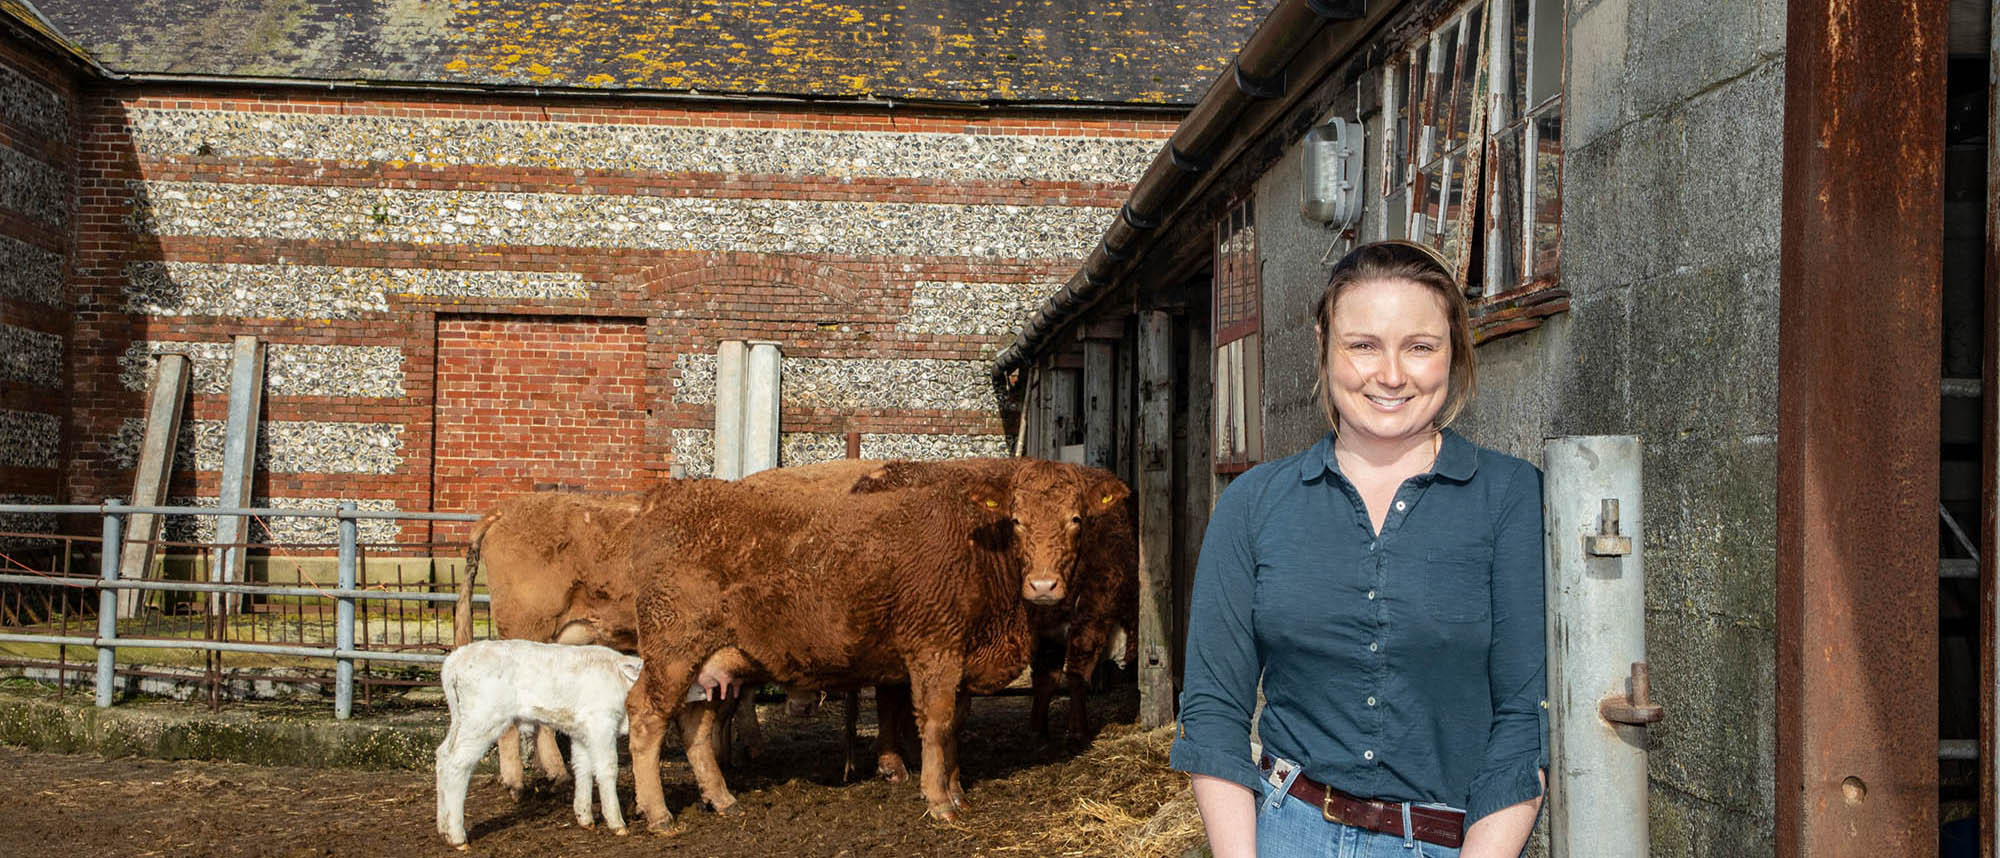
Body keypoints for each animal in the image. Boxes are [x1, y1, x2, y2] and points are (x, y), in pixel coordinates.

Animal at [436, 640, 640, 844]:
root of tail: (458, 656)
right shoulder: (601, 724)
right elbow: (608, 769)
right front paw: (617, 822)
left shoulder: (581, 732)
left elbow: (583, 768)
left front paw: (585, 817)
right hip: (482, 720)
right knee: (457, 763)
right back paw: (457, 836)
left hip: (462, 720)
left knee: (443, 755)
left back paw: (443, 827)